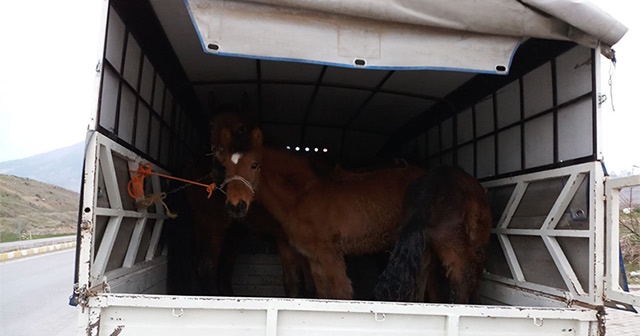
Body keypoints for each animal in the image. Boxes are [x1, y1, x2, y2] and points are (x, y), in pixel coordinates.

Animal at [216, 126, 424, 300]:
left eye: (254, 164)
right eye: (224, 166)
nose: (236, 206)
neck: (303, 195)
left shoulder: (330, 254)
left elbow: (340, 294)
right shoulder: (314, 259)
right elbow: (322, 294)